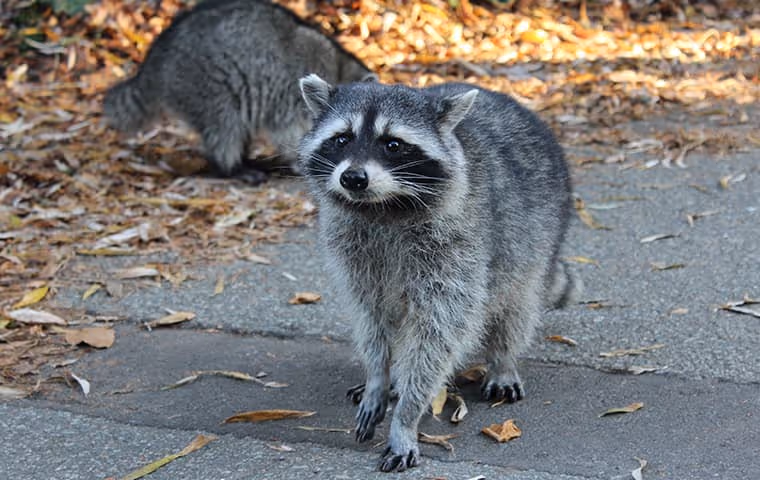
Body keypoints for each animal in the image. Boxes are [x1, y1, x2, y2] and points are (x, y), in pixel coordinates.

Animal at [103, 0, 371, 182]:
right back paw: (232, 167)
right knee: (225, 128)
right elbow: (288, 132)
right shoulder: (290, 97)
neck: (339, 68)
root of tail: (154, 59)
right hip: (206, 86)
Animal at [298, 75, 577, 472]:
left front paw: (407, 415)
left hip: (537, 235)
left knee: (517, 304)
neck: (382, 207)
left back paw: (503, 360)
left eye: (393, 144)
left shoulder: (457, 243)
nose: (353, 178)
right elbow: (371, 318)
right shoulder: (354, 250)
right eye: (342, 139)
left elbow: (439, 331)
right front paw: (378, 377)